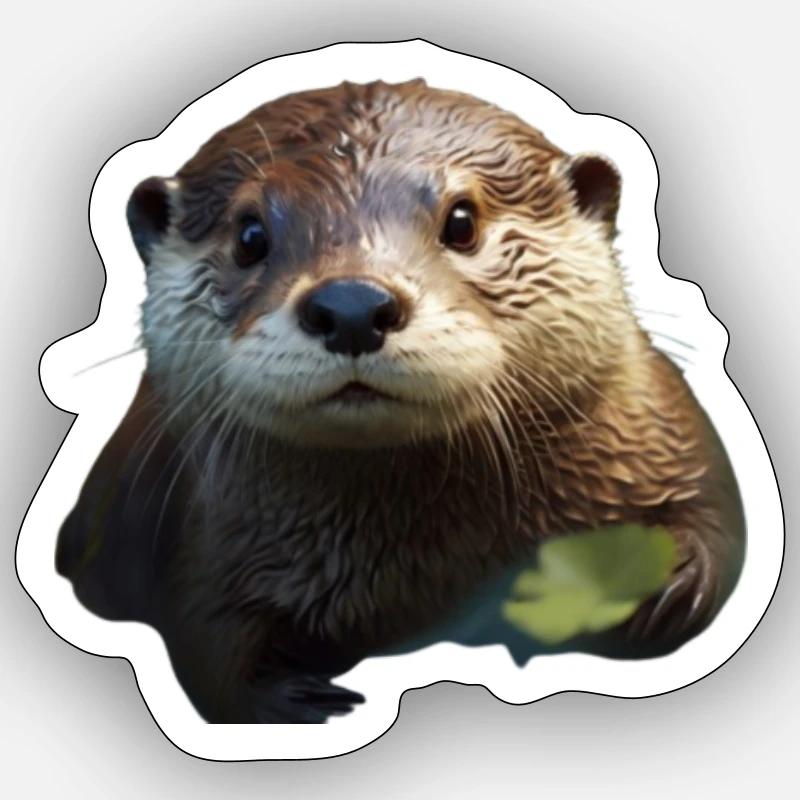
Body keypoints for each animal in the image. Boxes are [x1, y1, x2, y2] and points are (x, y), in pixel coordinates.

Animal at [56, 79, 745, 723]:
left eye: (463, 221)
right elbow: (209, 653)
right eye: (249, 234)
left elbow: (721, 533)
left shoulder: (661, 432)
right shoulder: (203, 540)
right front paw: (297, 696)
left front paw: (667, 585)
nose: (352, 305)